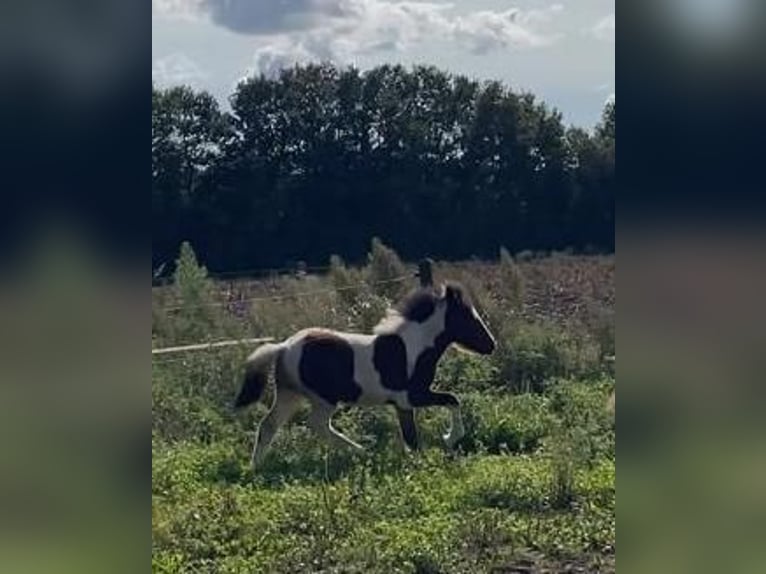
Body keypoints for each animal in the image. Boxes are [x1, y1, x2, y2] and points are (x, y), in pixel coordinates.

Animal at [234, 282, 498, 468]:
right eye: (468, 317)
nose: (491, 345)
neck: (413, 347)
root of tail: (284, 347)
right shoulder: (411, 396)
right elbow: (451, 401)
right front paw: (449, 439)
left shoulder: (402, 404)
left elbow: (411, 435)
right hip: (324, 399)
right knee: (316, 424)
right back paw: (362, 451)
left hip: (290, 395)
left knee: (269, 425)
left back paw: (256, 467)